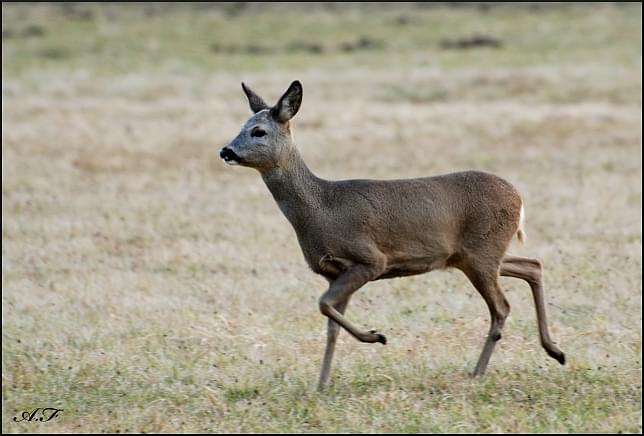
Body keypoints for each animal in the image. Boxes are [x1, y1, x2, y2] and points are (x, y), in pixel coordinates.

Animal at [220, 80, 564, 390]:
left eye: (258, 131)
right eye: (241, 126)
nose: (226, 150)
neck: (321, 209)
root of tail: (519, 198)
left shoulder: (370, 258)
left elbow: (323, 304)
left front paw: (376, 337)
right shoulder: (333, 273)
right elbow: (330, 323)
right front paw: (321, 385)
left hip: (482, 253)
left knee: (502, 306)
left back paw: (477, 373)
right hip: (477, 255)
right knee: (532, 265)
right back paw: (555, 351)